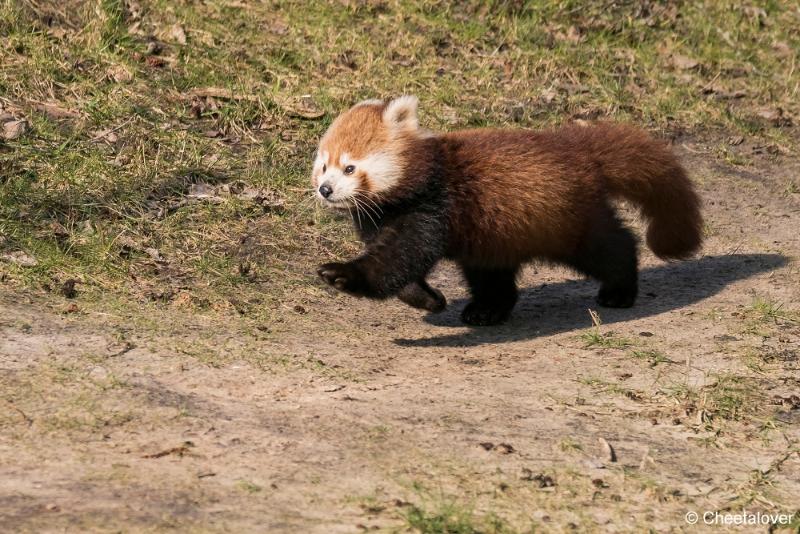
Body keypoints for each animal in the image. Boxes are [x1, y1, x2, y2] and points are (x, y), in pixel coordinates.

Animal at [310, 96, 700, 326]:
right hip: (495, 233)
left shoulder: (433, 207)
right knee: (492, 275)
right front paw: (428, 300)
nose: (325, 189)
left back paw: (619, 289)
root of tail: (580, 152)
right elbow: (401, 270)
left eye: (349, 168)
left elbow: (398, 259)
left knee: (610, 246)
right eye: (324, 165)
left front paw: (342, 274)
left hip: (567, 221)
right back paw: (488, 308)